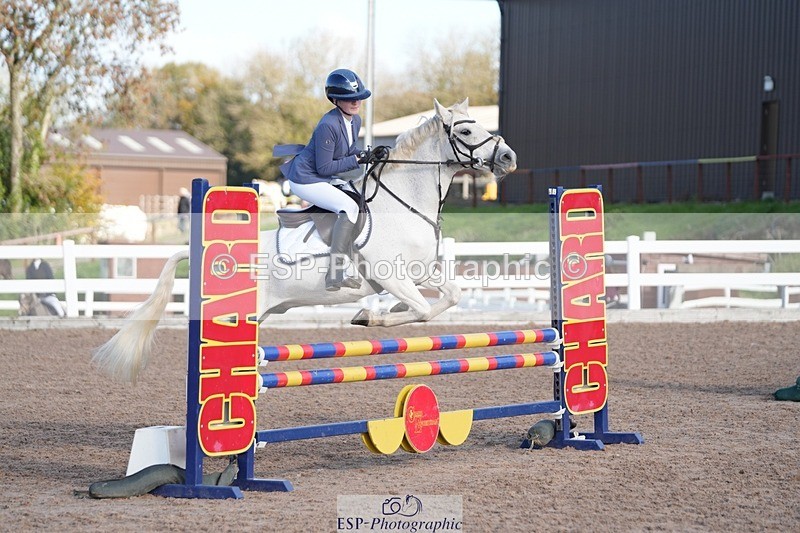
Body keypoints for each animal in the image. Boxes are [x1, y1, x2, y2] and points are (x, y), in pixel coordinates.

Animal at [92, 99, 517, 383]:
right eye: (465, 131)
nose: (509, 158)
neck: (405, 201)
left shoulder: (420, 272)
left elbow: (449, 297)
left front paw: (387, 310)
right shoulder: (392, 275)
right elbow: (422, 309)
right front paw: (371, 316)